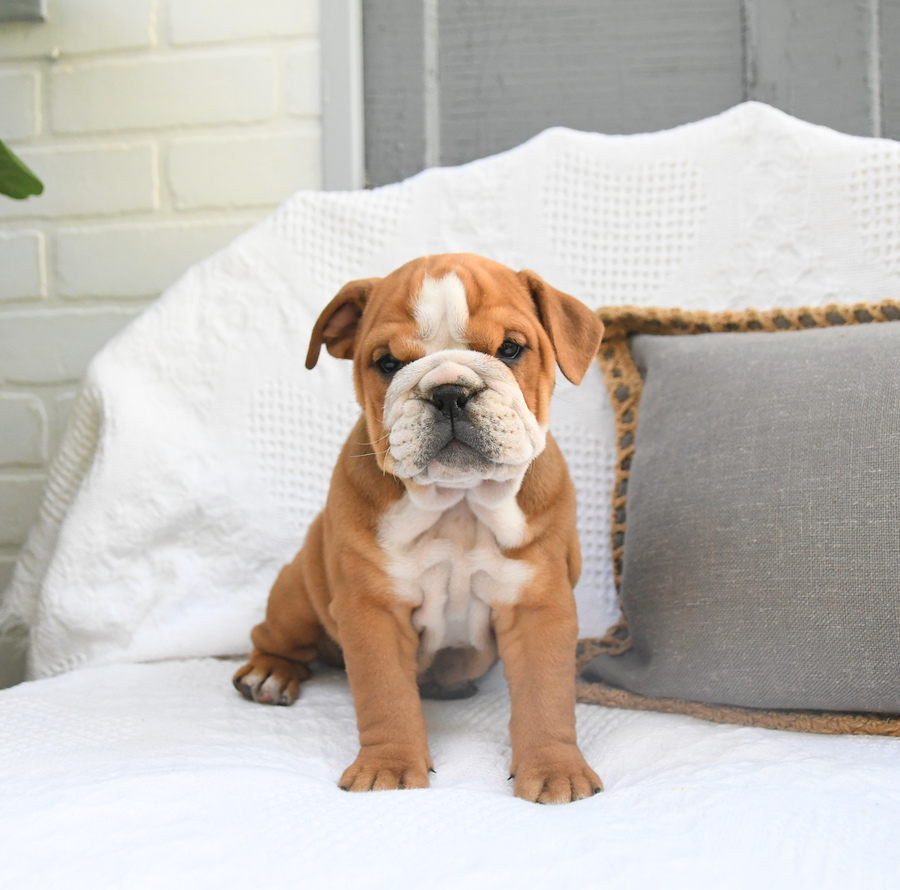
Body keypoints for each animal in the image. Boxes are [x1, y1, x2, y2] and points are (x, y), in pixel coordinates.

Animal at [236, 253, 608, 800]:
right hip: (296, 593)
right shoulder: (374, 610)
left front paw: (555, 770)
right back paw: (269, 673)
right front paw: (388, 769)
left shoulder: (538, 605)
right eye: (388, 363)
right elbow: (386, 695)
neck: (458, 505)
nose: (449, 392)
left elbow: (545, 696)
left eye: (511, 349)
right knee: (275, 636)